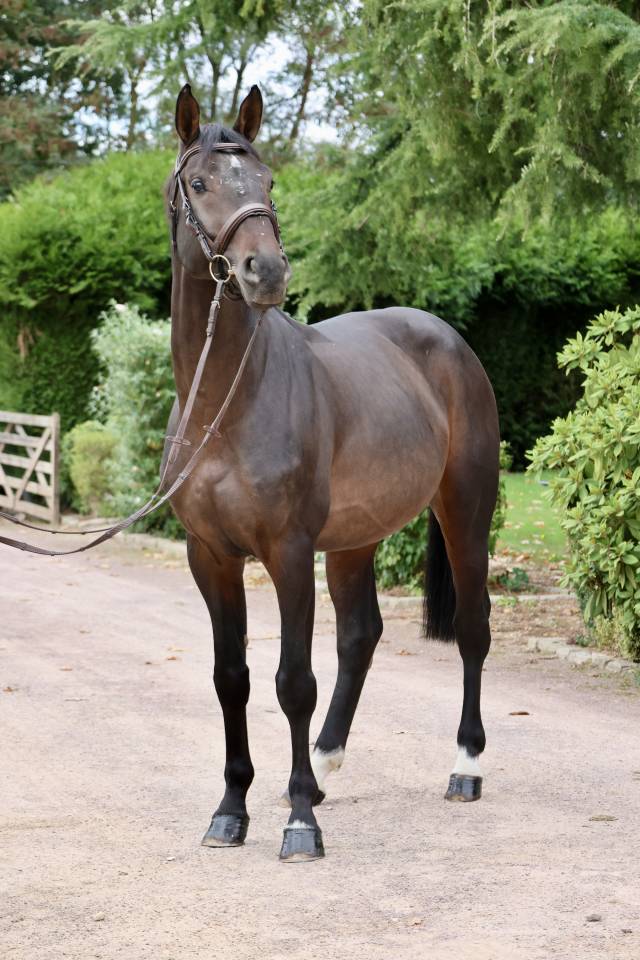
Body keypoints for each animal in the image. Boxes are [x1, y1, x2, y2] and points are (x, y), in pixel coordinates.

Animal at [164, 83, 500, 862]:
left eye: (267, 180)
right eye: (199, 184)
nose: (265, 272)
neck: (227, 403)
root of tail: (447, 339)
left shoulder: (288, 553)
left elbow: (293, 681)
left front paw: (297, 825)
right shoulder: (210, 556)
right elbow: (232, 679)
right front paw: (232, 810)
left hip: (466, 511)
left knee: (472, 629)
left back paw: (464, 767)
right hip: (354, 539)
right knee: (361, 635)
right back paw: (321, 765)